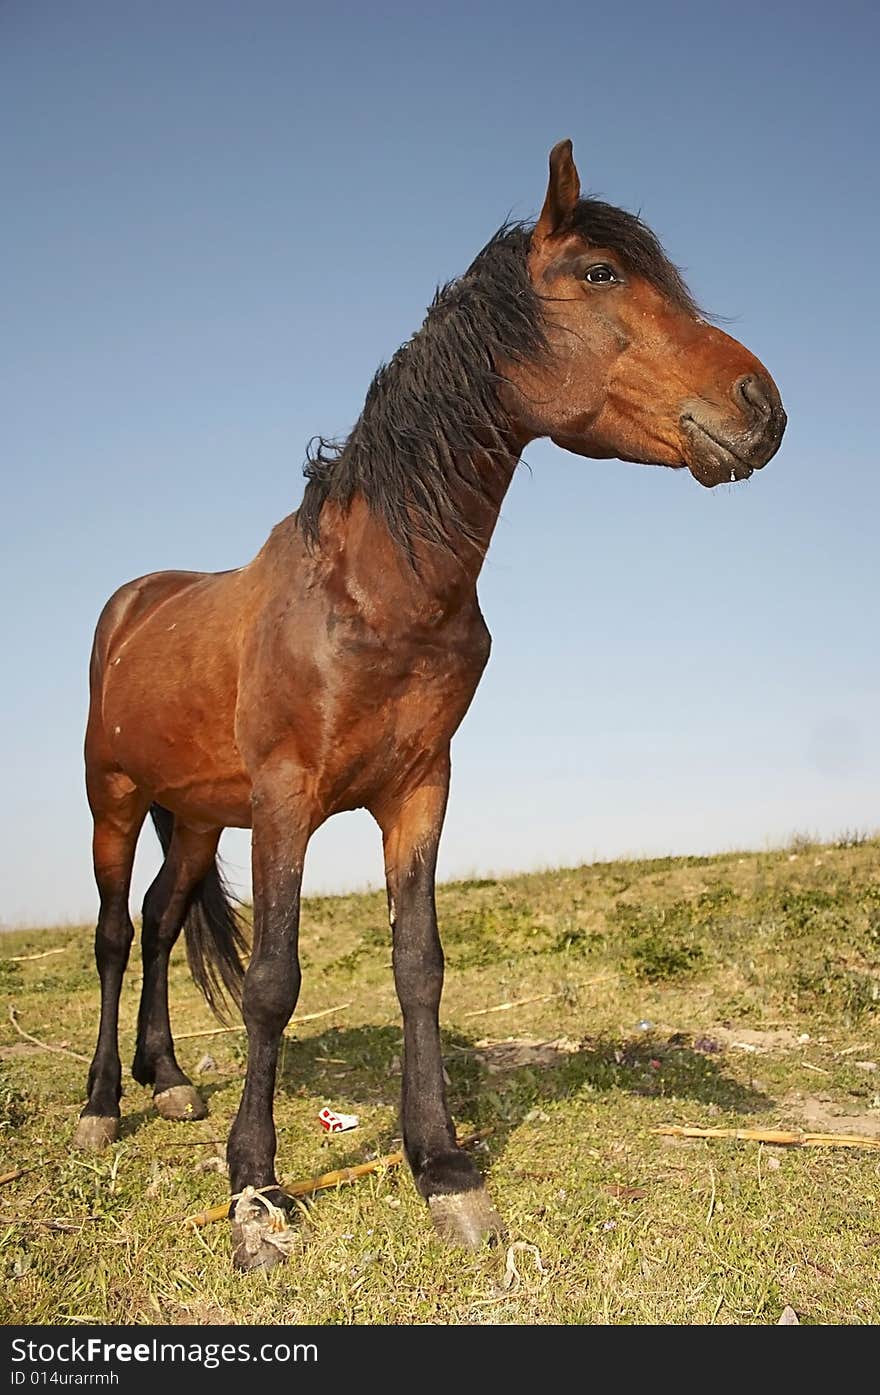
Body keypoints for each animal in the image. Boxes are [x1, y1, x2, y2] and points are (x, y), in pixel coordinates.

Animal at [75, 138, 786, 1266]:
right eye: (600, 274)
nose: (761, 406)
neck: (373, 589)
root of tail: (135, 601)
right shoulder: (287, 801)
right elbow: (274, 982)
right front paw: (256, 1187)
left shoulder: (419, 791)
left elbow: (420, 966)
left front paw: (442, 1165)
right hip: (115, 797)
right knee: (108, 933)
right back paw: (105, 1104)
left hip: (193, 818)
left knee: (155, 920)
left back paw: (173, 1081)